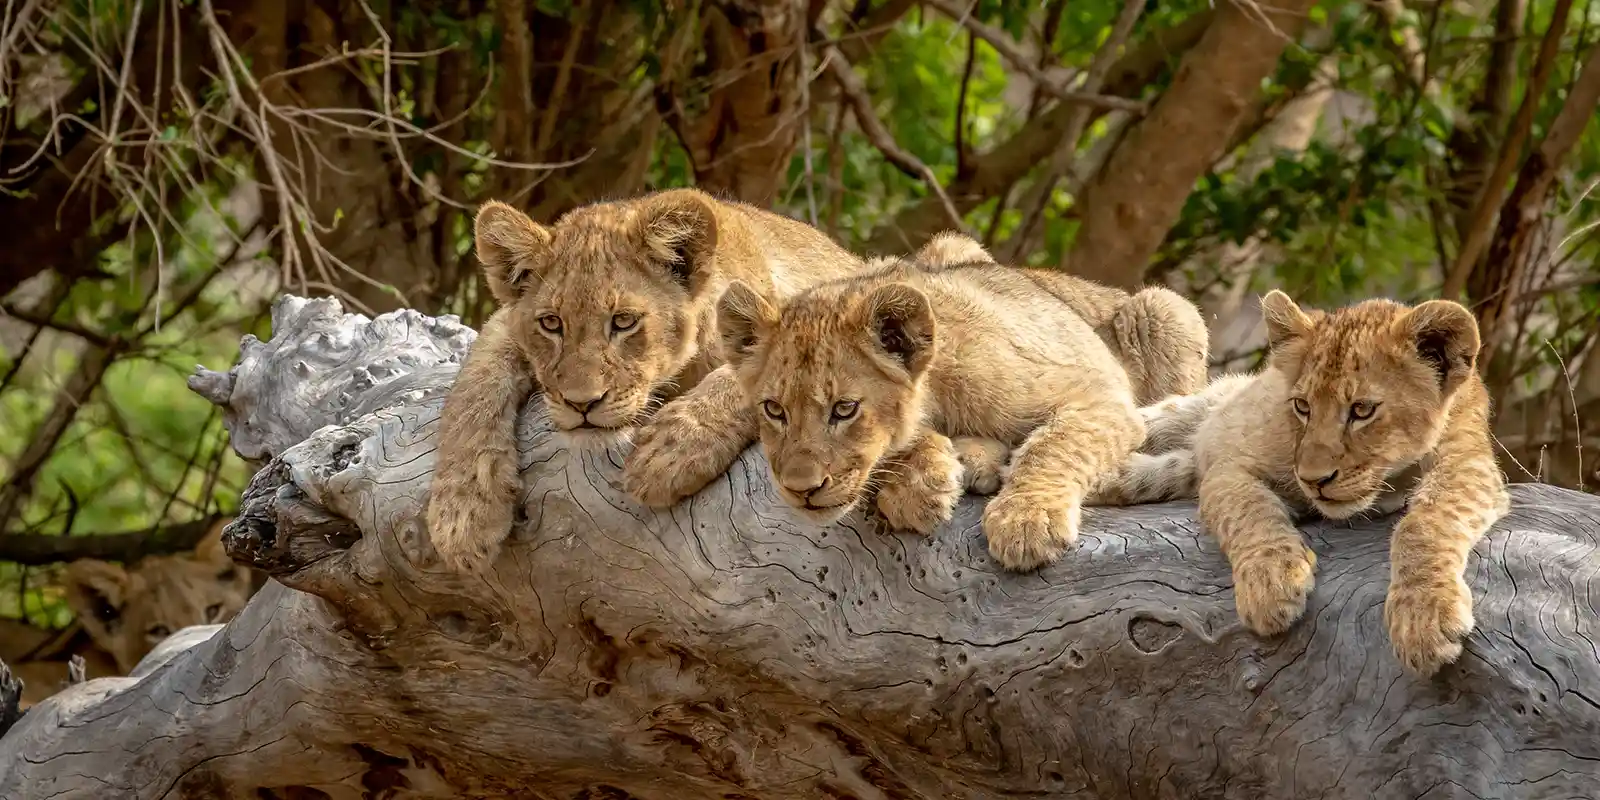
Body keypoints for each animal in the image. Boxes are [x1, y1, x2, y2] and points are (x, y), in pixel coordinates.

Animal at [1112, 290, 1508, 676]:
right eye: (1302, 406)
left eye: (1362, 410)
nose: (1314, 480)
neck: (1392, 479)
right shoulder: (1228, 468)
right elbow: (1248, 510)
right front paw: (1271, 582)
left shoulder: (1470, 465)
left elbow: (1426, 524)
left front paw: (1423, 615)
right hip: (1183, 415)